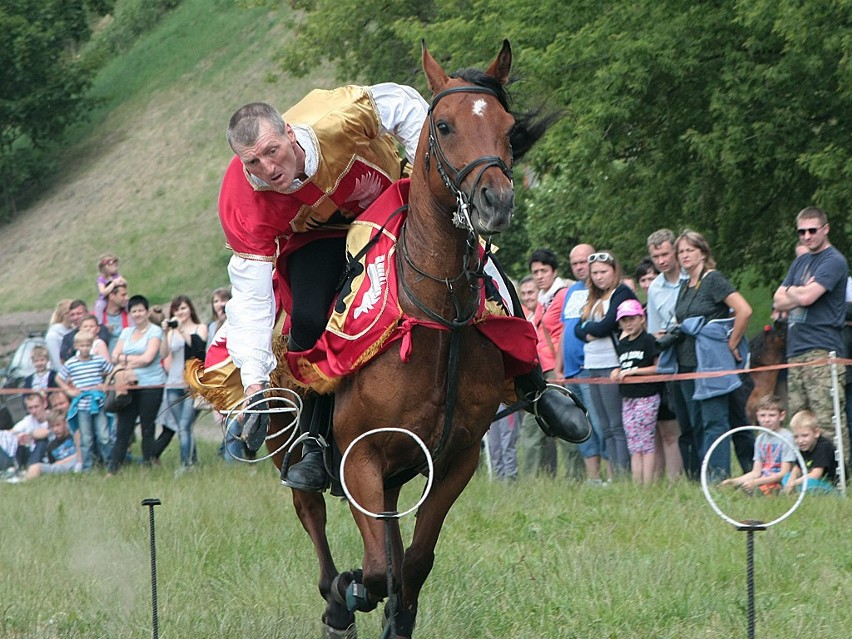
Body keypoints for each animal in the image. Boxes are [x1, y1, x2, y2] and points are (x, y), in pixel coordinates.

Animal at [266, 41, 556, 639]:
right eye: (443, 125)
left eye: (508, 127)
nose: (495, 202)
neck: (438, 320)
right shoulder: (358, 460)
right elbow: (376, 569)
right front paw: (349, 593)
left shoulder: (454, 461)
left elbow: (413, 564)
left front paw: (397, 617)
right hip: (292, 451)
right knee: (313, 516)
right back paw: (334, 601)